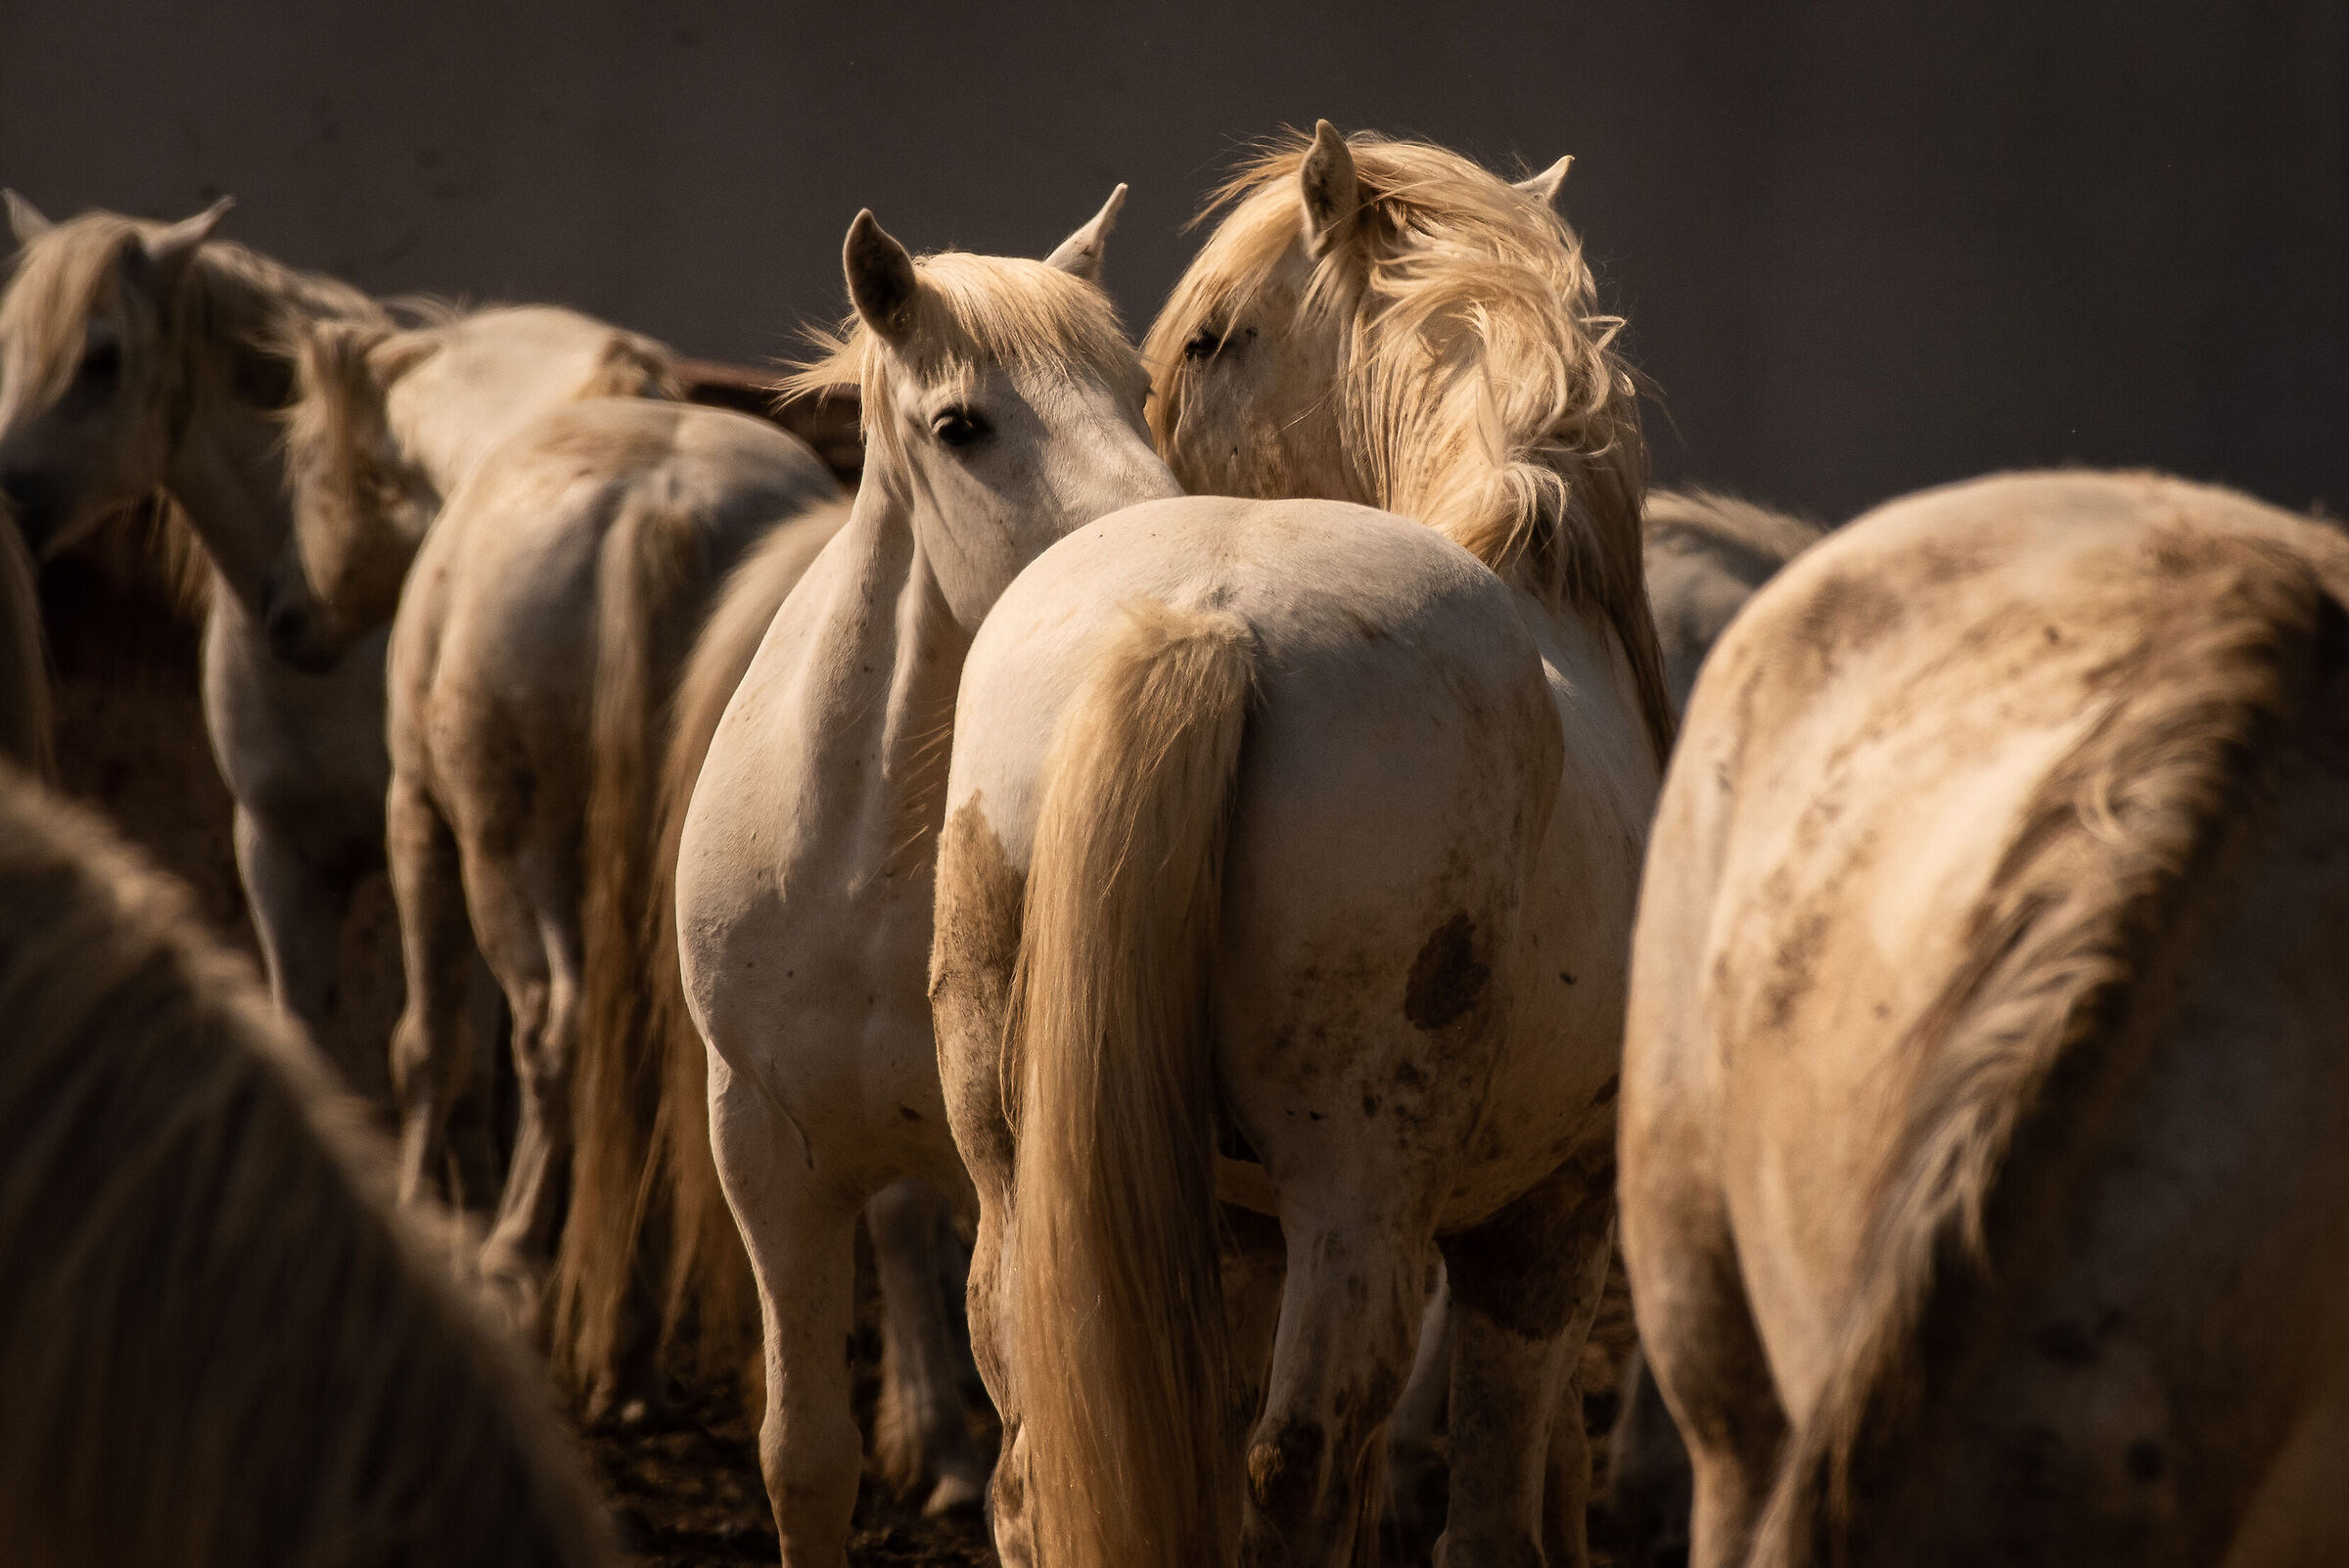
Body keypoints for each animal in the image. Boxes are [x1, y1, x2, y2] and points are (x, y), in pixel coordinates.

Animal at [262, 311, 845, 1352]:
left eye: (305, 462)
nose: (281, 613)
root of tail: (662, 508)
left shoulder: (419, 817)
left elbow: (432, 1042)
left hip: (508, 852)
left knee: (551, 1023)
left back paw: (516, 1258)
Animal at [925, 123, 1670, 1568]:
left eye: (1212, 338)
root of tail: (1205, 618)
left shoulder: (1235, 1224)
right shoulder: (1544, 1234)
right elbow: (1490, 1511)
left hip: (1020, 1182)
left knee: (1040, 1462)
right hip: (1362, 1199)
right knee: (1303, 1462)